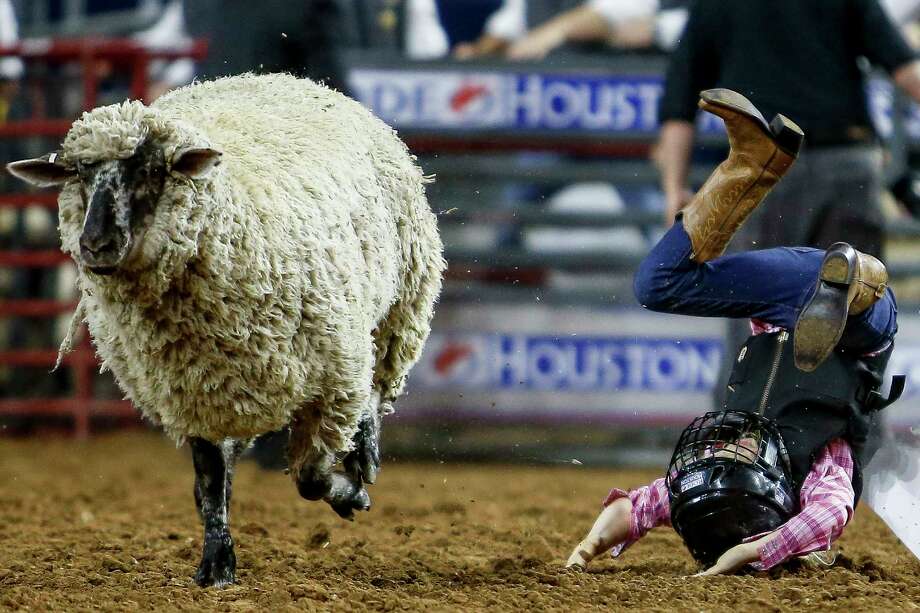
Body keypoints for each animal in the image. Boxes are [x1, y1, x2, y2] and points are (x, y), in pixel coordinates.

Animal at [7, 74, 446, 584]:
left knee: (377, 386)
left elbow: (311, 477)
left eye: (151, 170)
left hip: (399, 307)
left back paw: (365, 455)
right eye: (78, 174)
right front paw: (216, 564)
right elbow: (211, 480)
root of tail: (286, 78)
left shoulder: (334, 379)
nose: (95, 244)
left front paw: (350, 493)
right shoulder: (193, 386)